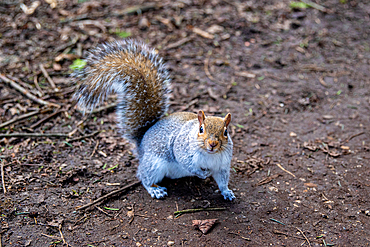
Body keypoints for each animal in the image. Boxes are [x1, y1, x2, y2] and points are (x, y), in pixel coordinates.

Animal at [72, 39, 234, 201]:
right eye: (201, 129)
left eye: (226, 132)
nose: (212, 144)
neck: (209, 154)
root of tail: (141, 144)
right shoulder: (182, 148)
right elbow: (187, 163)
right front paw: (202, 173)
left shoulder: (222, 165)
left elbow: (222, 180)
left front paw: (226, 192)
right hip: (153, 164)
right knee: (144, 176)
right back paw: (155, 189)